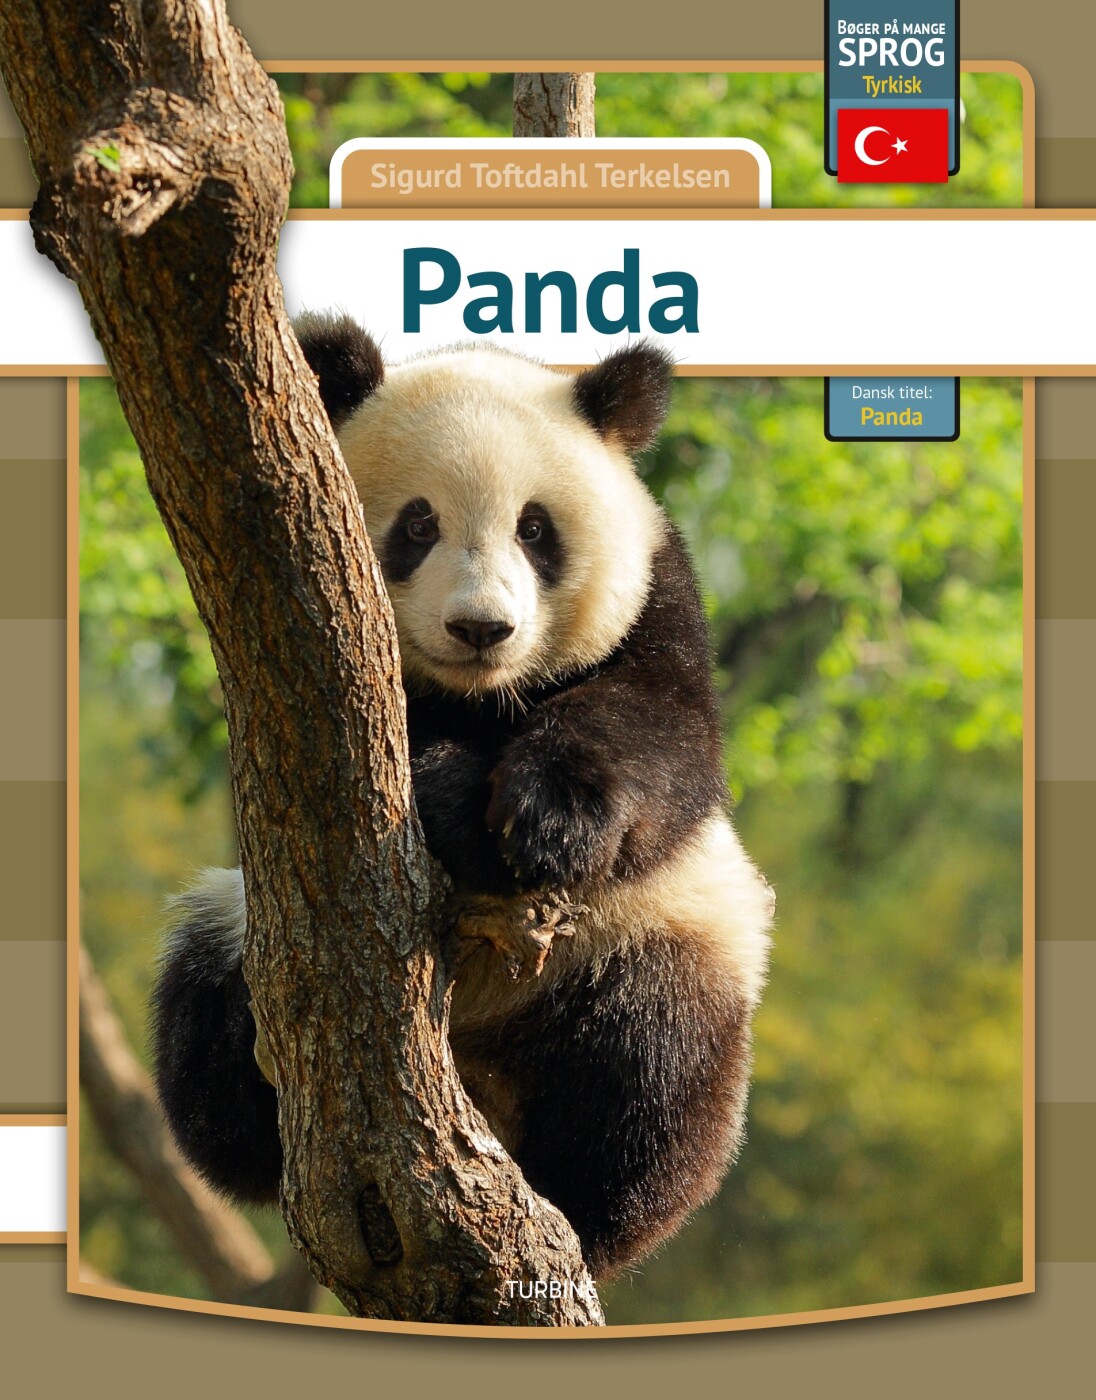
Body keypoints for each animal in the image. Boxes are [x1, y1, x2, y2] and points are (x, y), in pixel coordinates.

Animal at [151, 315, 774, 1282]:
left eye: (535, 529)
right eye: (418, 523)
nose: (481, 628)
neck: (481, 697)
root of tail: (480, 1079)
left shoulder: (658, 599)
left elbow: (664, 740)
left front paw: (542, 819)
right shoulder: (284, 667)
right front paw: (451, 798)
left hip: (650, 938)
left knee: (654, 1065)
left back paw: (586, 1210)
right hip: (246, 923)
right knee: (204, 1025)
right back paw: (253, 1097)